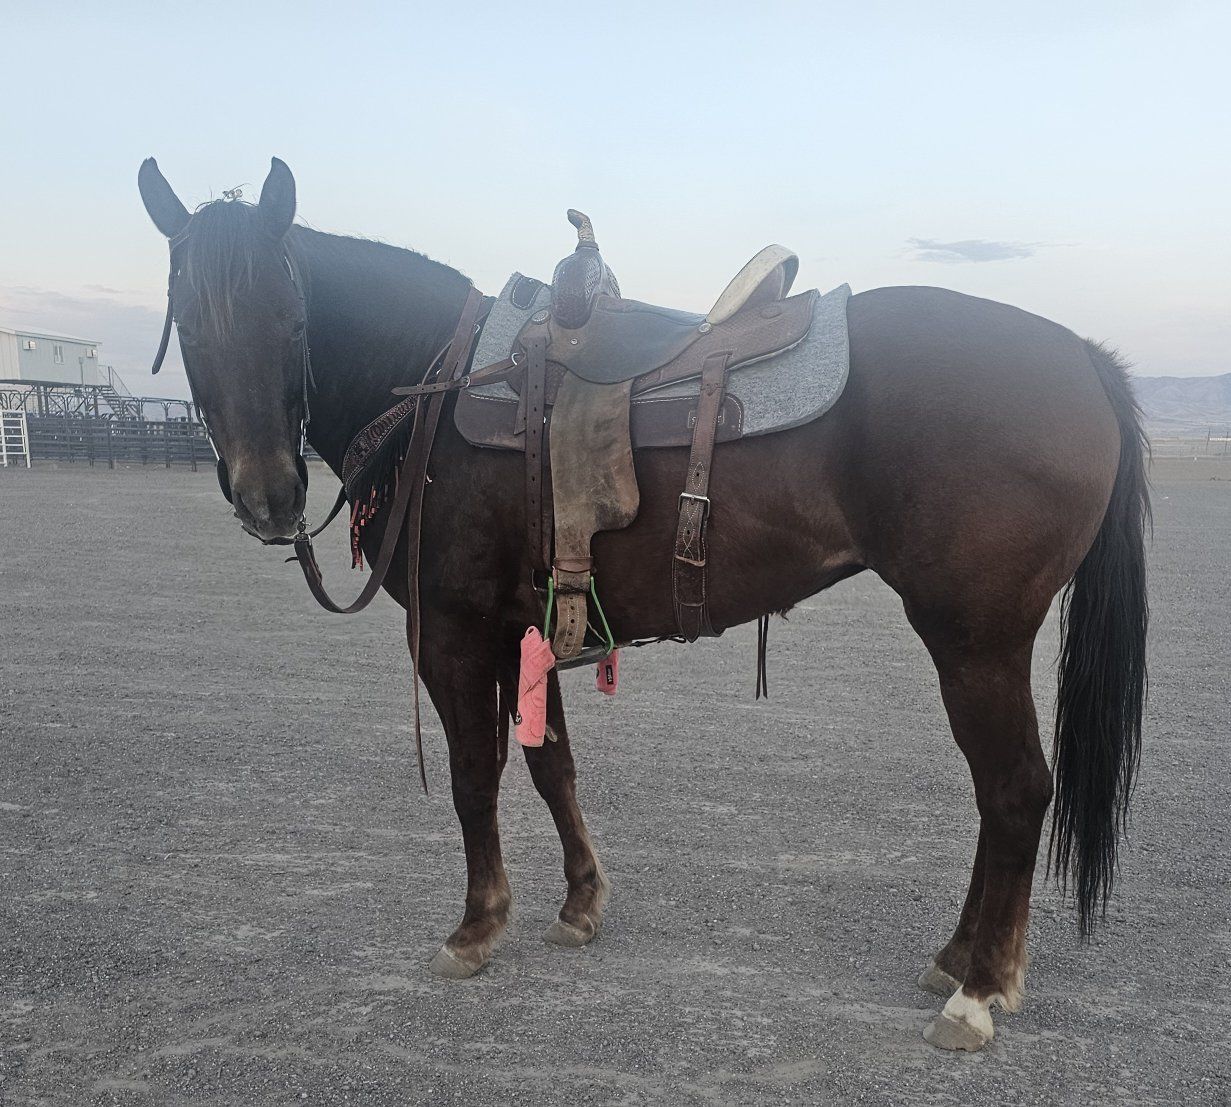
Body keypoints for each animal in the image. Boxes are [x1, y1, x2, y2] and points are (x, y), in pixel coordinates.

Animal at [137, 156, 1148, 1052]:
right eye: (189, 325)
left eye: (290, 315)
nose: (267, 493)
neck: (438, 384)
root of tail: (1080, 358)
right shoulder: (524, 627)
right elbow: (551, 766)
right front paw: (579, 902)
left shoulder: (454, 633)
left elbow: (473, 777)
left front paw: (476, 925)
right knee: (995, 794)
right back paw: (959, 958)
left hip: (974, 641)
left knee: (1014, 791)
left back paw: (978, 992)